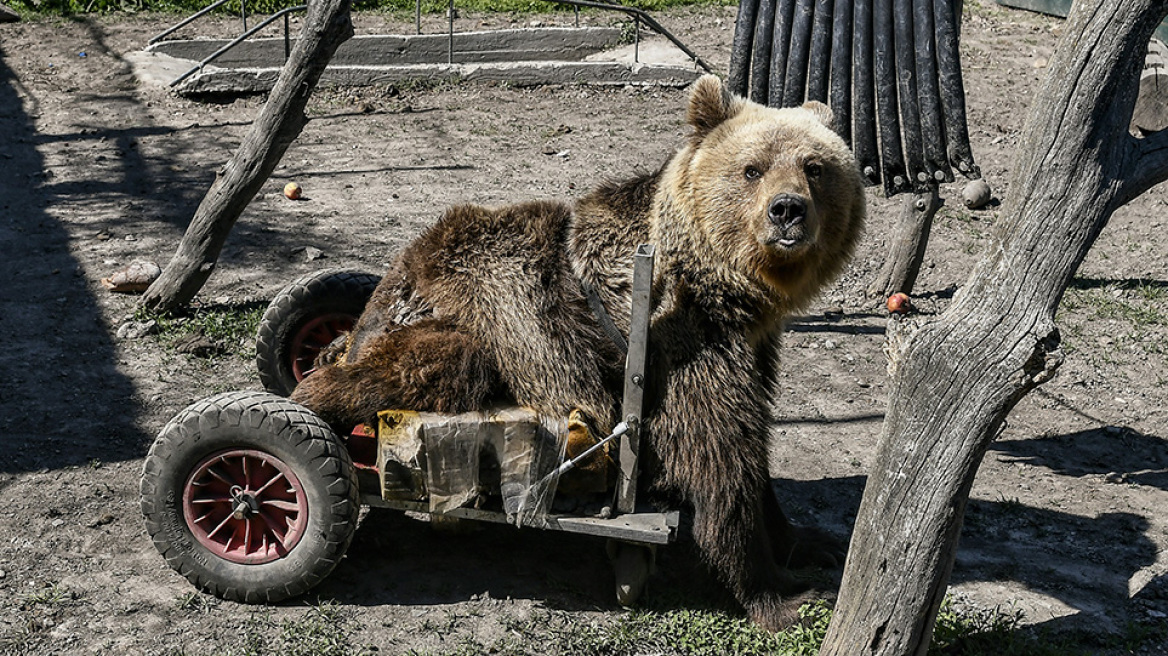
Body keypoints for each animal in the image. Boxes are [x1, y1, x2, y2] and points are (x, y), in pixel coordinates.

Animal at [287, 75, 864, 630]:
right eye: (751, 169)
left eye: (815, 167)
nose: (787, 210)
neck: (726, 288)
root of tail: (384, 294)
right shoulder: (681, 343)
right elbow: (719, 457)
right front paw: (782, 597)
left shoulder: (752, 345)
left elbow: (753, 449)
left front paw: (812, 541)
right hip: (472, 317)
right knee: (418, 368)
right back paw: (311, 403)